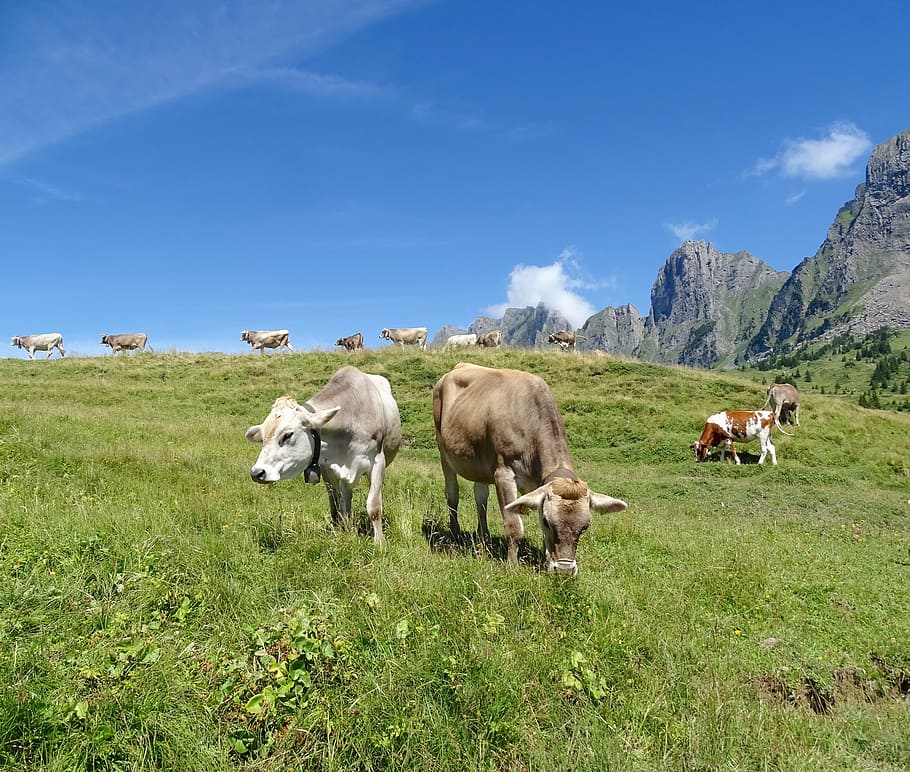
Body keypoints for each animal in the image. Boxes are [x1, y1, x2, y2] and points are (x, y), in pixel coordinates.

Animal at [246, 366, 402, 545]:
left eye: (287, 435)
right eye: (263, 437)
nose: (257, 472)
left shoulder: (377, 462)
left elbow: (374, 506)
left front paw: (380, 543)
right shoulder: (327, 468)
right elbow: (335, 504)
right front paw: (342, 532)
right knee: (345, 498)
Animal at [432, 362, 628, 576]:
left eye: (584, 527)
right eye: (548, 522)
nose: (565, 570)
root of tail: (459, 366)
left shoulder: (537, 484)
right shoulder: (504, 474)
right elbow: (513, 525)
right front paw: (512, 566)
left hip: (479, 462)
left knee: (480, 497)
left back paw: (484, 540)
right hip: (443, 452)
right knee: (452, 494)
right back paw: (455, 535)